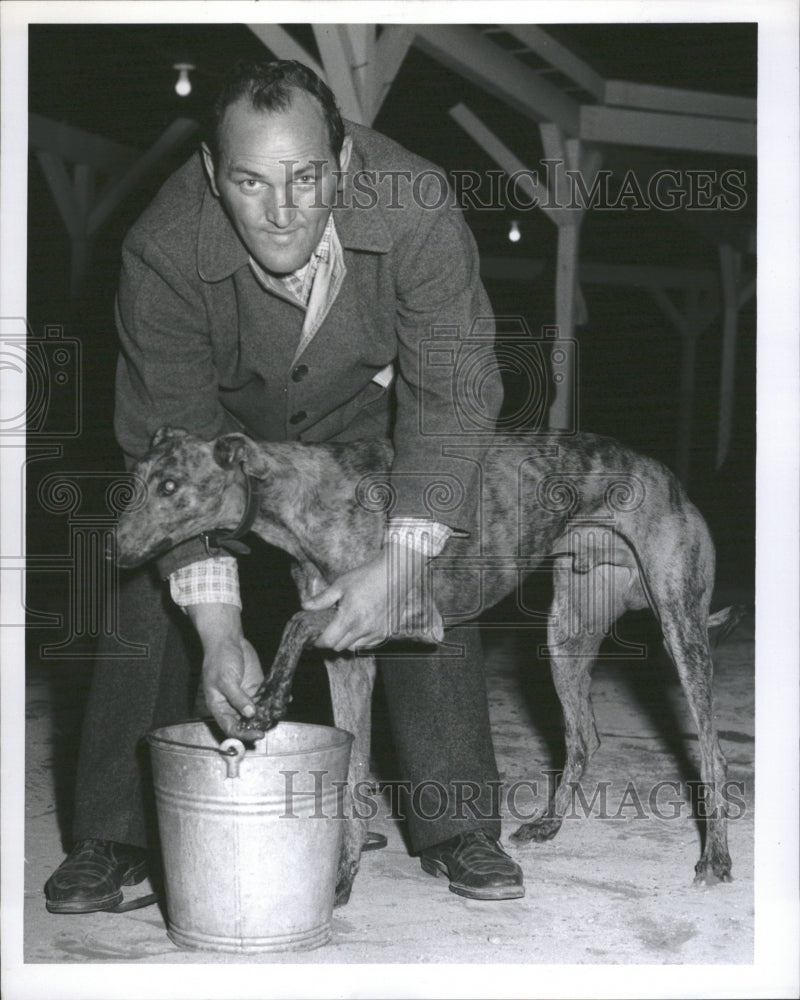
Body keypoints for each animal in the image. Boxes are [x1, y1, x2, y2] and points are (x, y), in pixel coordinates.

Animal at [117, 426, 736, 904]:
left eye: (170, 486)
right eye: (139, 480)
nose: (113, 550)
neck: (304, 495)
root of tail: (666, 476)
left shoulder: (403, 614)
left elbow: (295, 623)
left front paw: (268, 700)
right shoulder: (349, 659)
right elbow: (352, 777)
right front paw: (340, 881)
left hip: (680, 626)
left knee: (711, 750)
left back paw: (716, 859)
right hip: (567, 635)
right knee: (584, 735)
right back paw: (549, 824)